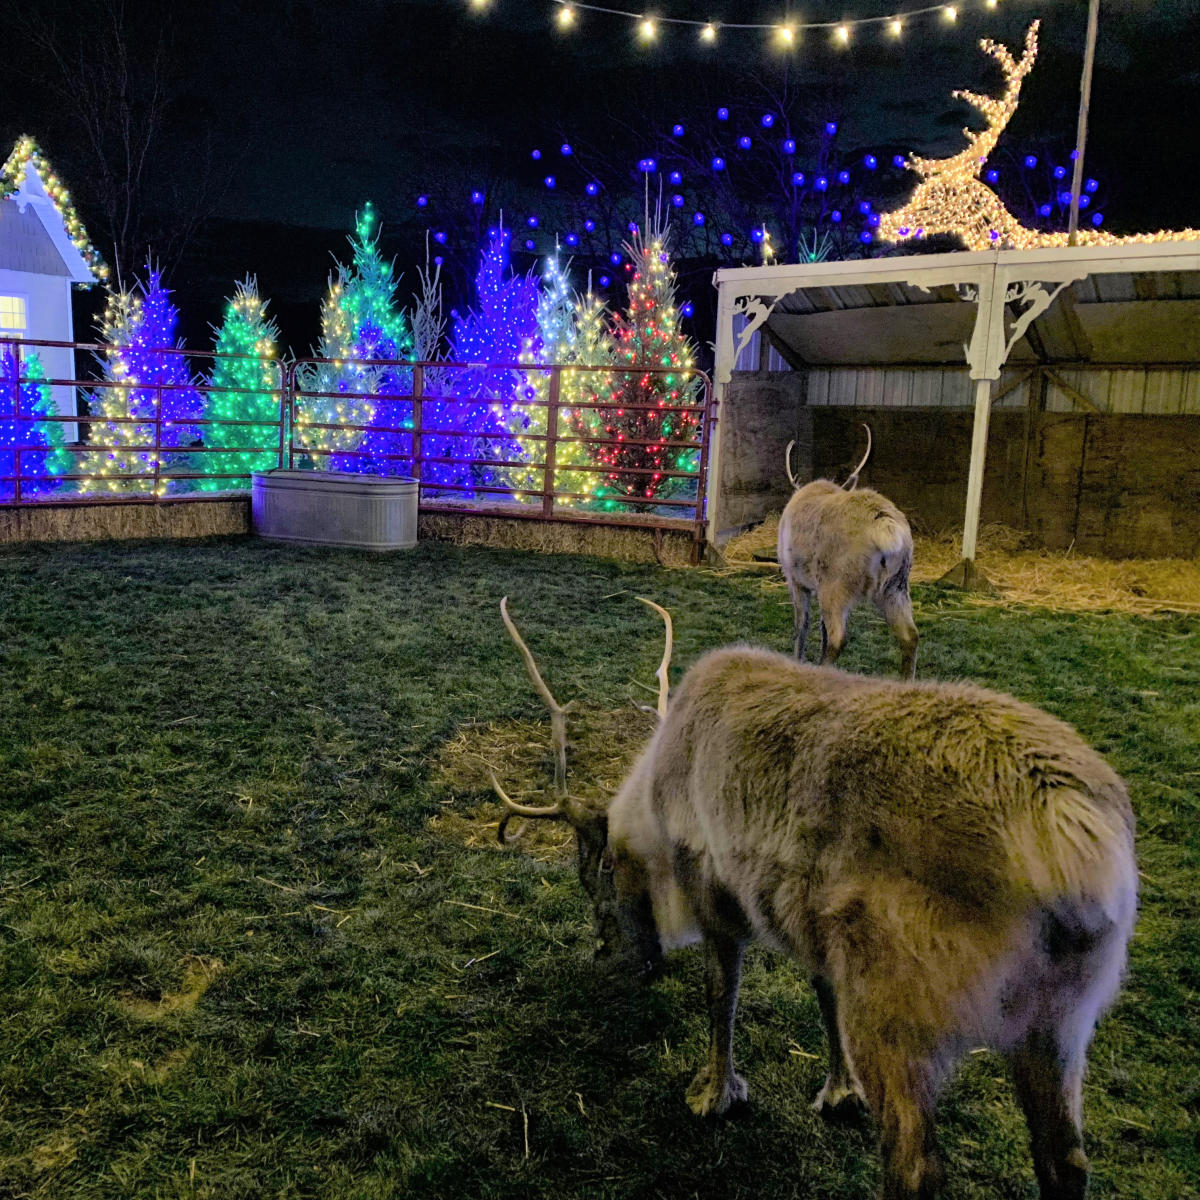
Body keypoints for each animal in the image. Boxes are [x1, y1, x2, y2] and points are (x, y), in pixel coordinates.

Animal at [491, 597, 1136, 1200]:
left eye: (596, 879)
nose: (607, 959)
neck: (654, 803)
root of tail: (1078, 836)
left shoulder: (715, 893)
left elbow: (719, 995)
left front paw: (716, 1094)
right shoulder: (815, 932)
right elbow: (822, 997)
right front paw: (839, 1091)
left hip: (898, 1007)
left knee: (915, 1165)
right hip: (1059, 1021)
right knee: (1066, 1159)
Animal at [778, 423, 919, 679]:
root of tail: (885, 525)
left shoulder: (795, 579)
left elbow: (802, 625)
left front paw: (797, 659)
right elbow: (819, 628)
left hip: (836, 583)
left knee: (839, 638)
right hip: (896, 586)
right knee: (910, 636)